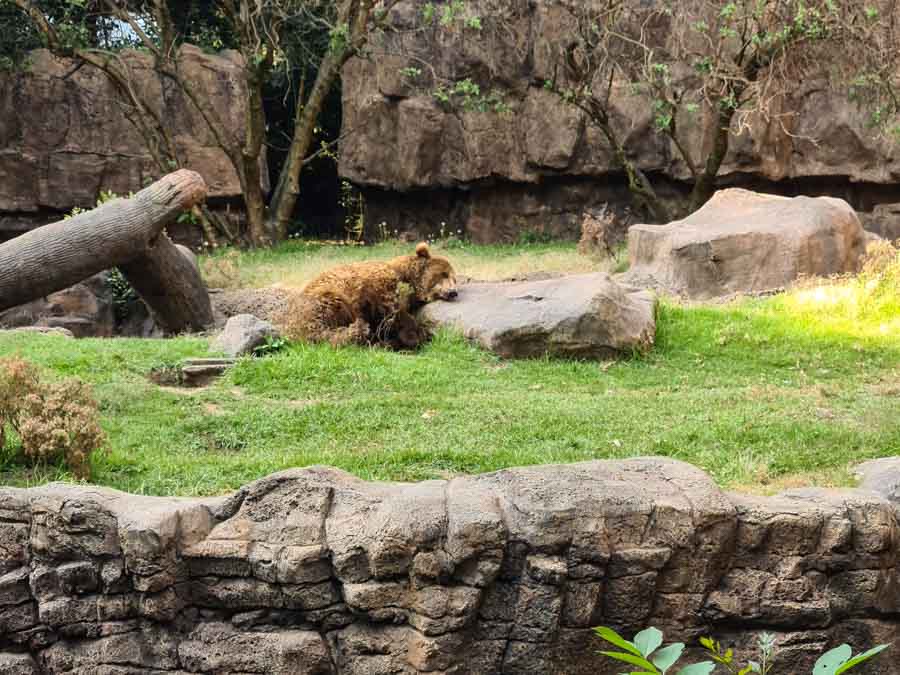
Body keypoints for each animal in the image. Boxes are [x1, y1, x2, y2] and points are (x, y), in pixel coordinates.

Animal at [284, 243, 458, 348]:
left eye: (454, 278)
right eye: (444, 274)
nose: (453, 292)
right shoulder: (379, 290)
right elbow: (393, 316)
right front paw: (417, 335)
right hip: (324, 301)